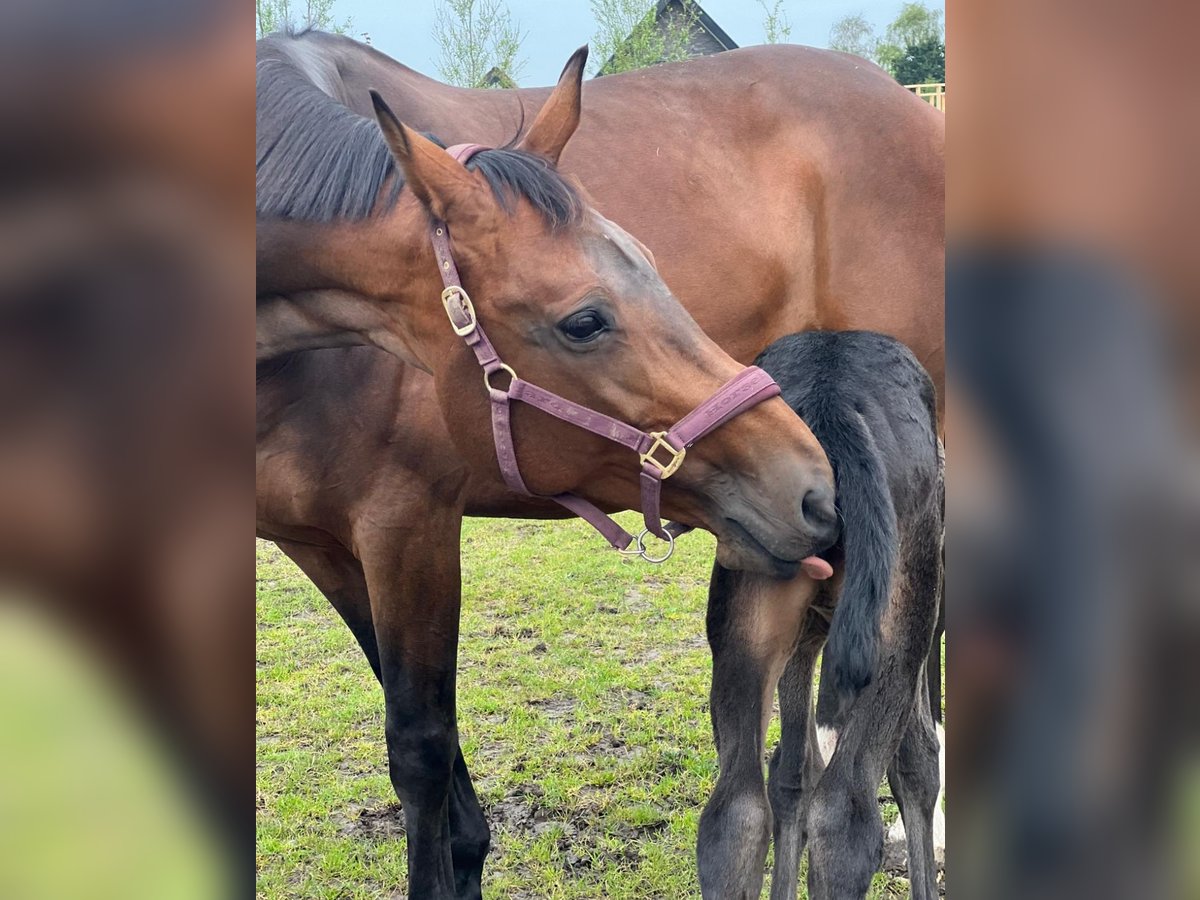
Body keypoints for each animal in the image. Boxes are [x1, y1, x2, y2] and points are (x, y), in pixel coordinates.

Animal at [700, 331, 940, 900]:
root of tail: (833, 404)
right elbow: (918, 761)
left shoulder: (805, 636)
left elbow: (792, 773)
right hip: (901, 622)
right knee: (846, 814)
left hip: (747, 621)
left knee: (735, 812)